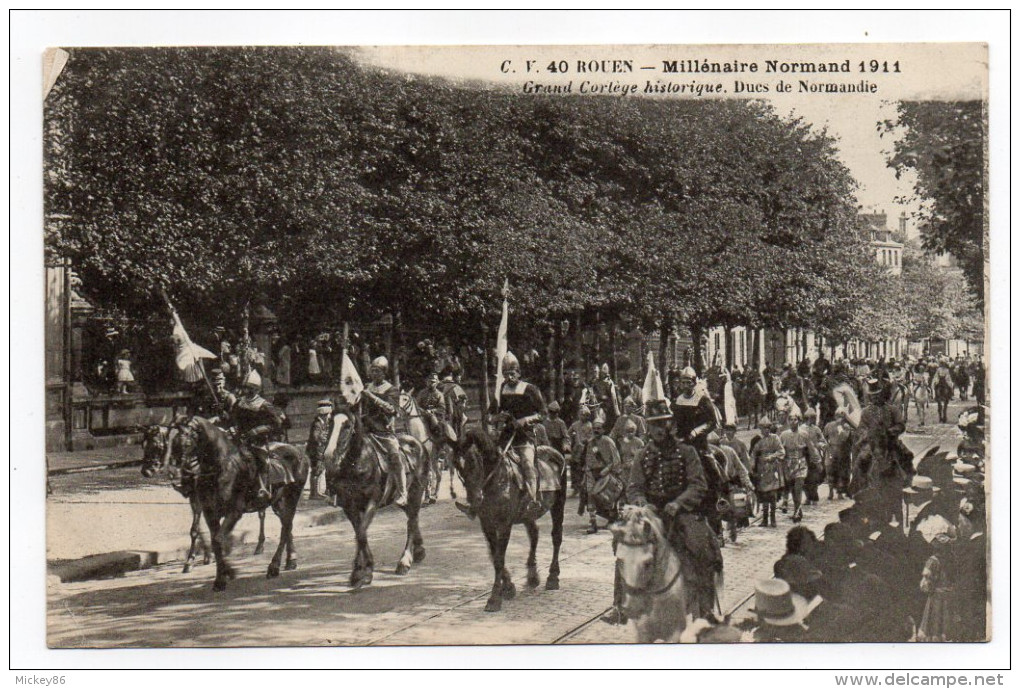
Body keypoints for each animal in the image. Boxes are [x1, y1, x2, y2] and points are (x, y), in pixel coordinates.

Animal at [143, 426, 273, 575]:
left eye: (156, 445)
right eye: (143, 445)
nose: (145, 471)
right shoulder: (196, 500)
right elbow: (196, 530)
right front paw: (197, 559)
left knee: (261, 515)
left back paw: (259, 545)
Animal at [172, 418, 306, 592]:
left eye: (188, 442)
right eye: (174, 442)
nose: (179, 479)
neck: (221, 469)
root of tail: (299, 451)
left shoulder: (234, 512)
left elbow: (218, 539)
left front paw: (228, 572)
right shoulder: (209, 512)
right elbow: (214, 540)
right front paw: (221, 577)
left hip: (292, 498)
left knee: (285, 528)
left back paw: (274, 567)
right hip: (278, 503)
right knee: (286, 526)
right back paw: (290, 560)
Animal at [322, 406, 426, 592]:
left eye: (347, 426)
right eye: (330, 423)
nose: (329, 456)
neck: (358, 462)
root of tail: (417, 442)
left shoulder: (372, 502)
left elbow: (361, 534)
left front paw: (362, 572)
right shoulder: (349, 505)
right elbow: (359, 533)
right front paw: (362, 570)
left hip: (416, 492)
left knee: (412, 522)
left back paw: (405, 561)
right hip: (402, 499)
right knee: (412, 519)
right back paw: (419, 549)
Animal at [452, 426, 567, 616]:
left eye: (474, 462)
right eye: (457, 466)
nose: (475, 500)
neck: (496, 480)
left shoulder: (504, 524)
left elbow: (499, 558)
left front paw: (494, 598)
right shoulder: (487, 524)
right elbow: (494, 555)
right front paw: (508, 588)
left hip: (559, 504)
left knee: (556, 537)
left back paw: (553, 577)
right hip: (528, 515)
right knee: (534, 534)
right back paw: (533, 576)